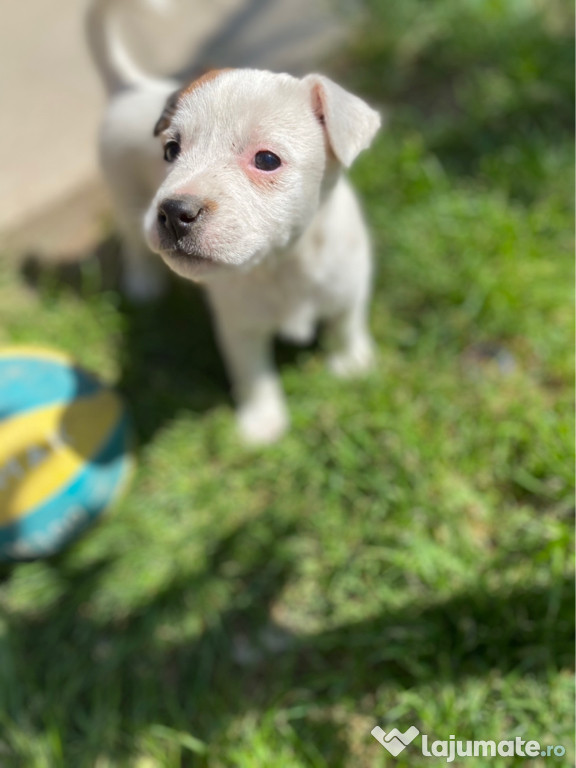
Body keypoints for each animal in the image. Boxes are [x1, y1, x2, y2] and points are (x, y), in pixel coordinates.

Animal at [86, 0, 382, 444]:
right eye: (170, 151)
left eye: (267, 159)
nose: (174, 212)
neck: (283, 263)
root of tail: (131, 86)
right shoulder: (238, 326)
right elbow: (253, 373)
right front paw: (263, 422)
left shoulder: (349, 284)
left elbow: (346, 324)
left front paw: (351, 365)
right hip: (124, 197)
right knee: (134, 245)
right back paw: (144, 286)